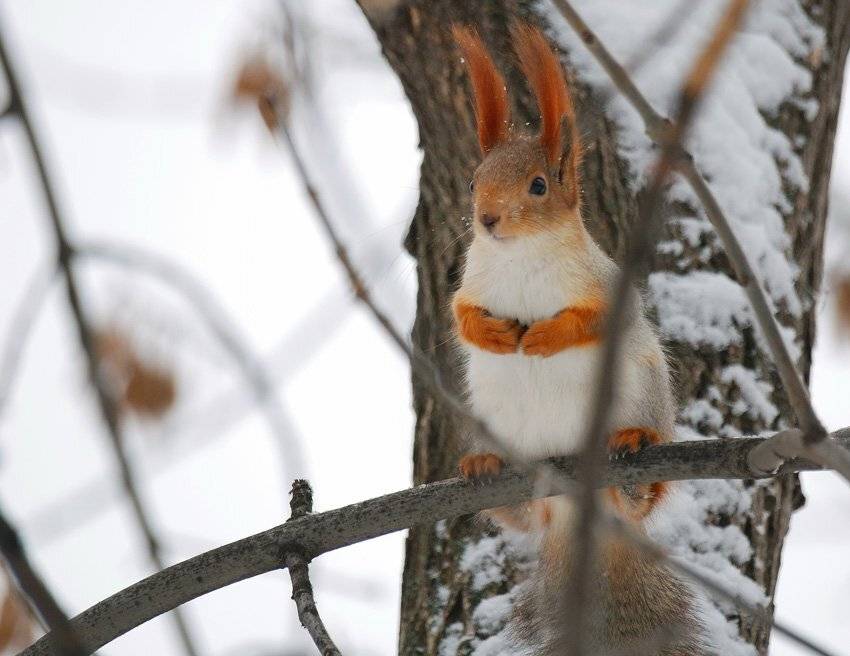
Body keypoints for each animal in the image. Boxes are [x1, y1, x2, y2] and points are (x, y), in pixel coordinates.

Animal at [450, 23, 708, 656]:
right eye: (473, 181)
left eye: (539, 185)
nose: (487, 219)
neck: (518, 256)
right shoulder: (472, 282)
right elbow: (461, 313)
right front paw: (493, 333)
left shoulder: (606, 287)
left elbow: (592, 320)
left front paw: (545, 335)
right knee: (521, 517)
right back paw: (486, 466)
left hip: (640, 391)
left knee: (642, 498)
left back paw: (634, 452)